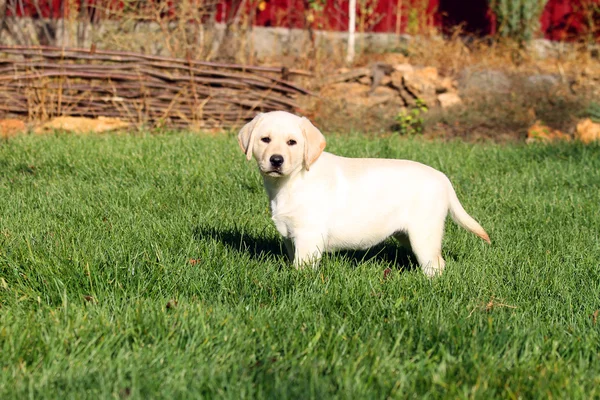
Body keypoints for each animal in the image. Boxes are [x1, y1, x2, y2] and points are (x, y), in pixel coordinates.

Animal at [237, 111, 490, 276]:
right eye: (265, 140)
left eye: (292, 142)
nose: (276, 160)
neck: (291, 181)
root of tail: (443, 178)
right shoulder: (291, 235)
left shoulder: (308, 235)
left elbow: (302, 268)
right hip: (407, 233)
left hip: (424, 233)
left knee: (435, 265)